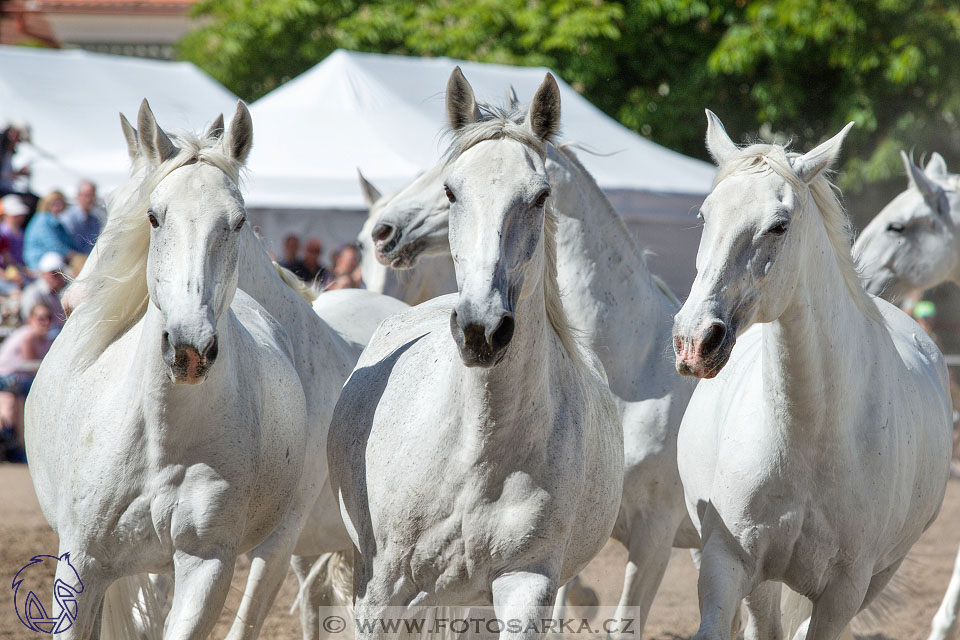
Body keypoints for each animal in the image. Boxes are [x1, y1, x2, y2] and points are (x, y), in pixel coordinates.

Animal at [328, 67, 624, 636]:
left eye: (541, 195)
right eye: (451, 190)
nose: (481, 330)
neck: (476, 450)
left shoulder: (524, 583)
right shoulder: (382, 589)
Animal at [676, 110, 952, 640]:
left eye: (779, 226)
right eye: (704, 215)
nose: (695, 341)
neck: (811, 428)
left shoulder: (843, 592)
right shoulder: (726, 565)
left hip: (880, 575)